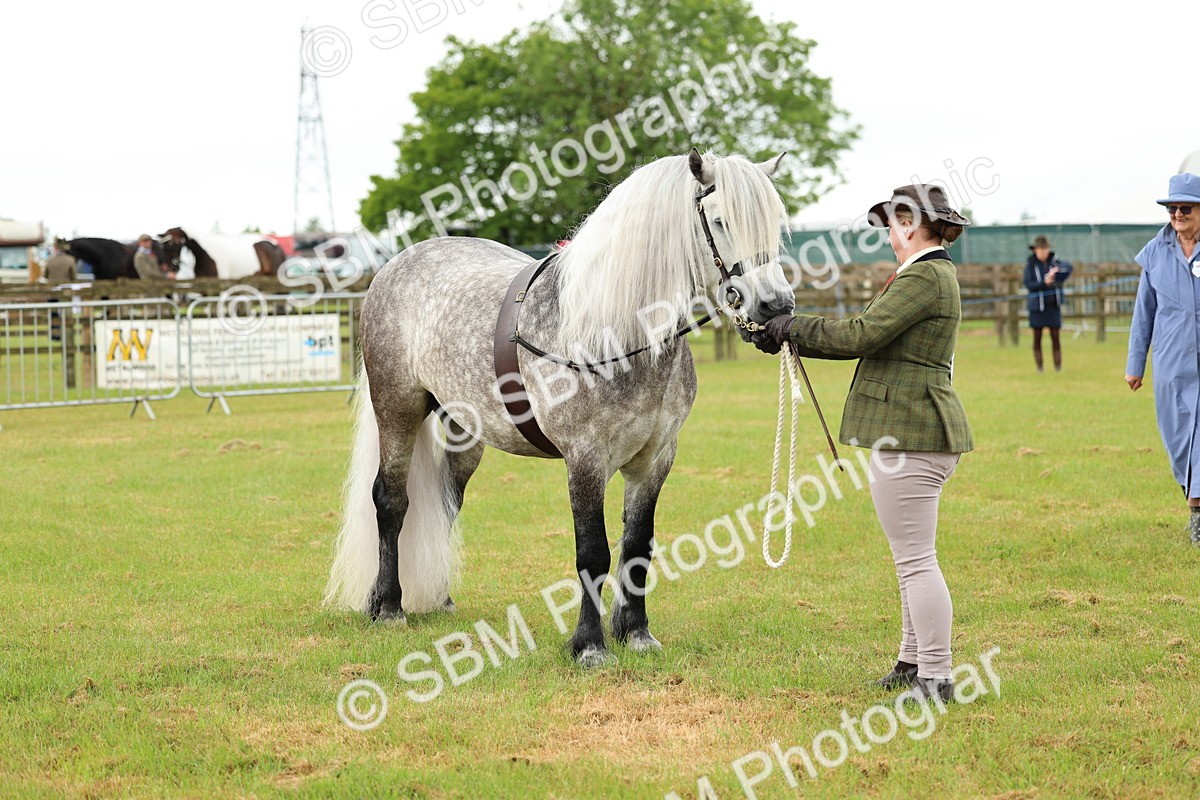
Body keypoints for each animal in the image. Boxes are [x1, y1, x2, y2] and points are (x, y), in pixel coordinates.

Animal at [323, 150, 794, 667]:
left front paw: (636, 632)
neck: (614, 333)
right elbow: (594, 552)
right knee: (391, 501)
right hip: (397, 412)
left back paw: (438, 598)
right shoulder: (585, 459)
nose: (775, 306)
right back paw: (388, 606)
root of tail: (395, 266)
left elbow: (637, 546)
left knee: (446, 502)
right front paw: (590, 645)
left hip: (465, 433)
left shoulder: (655, 459)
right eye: (720, 220)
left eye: (774, 223)